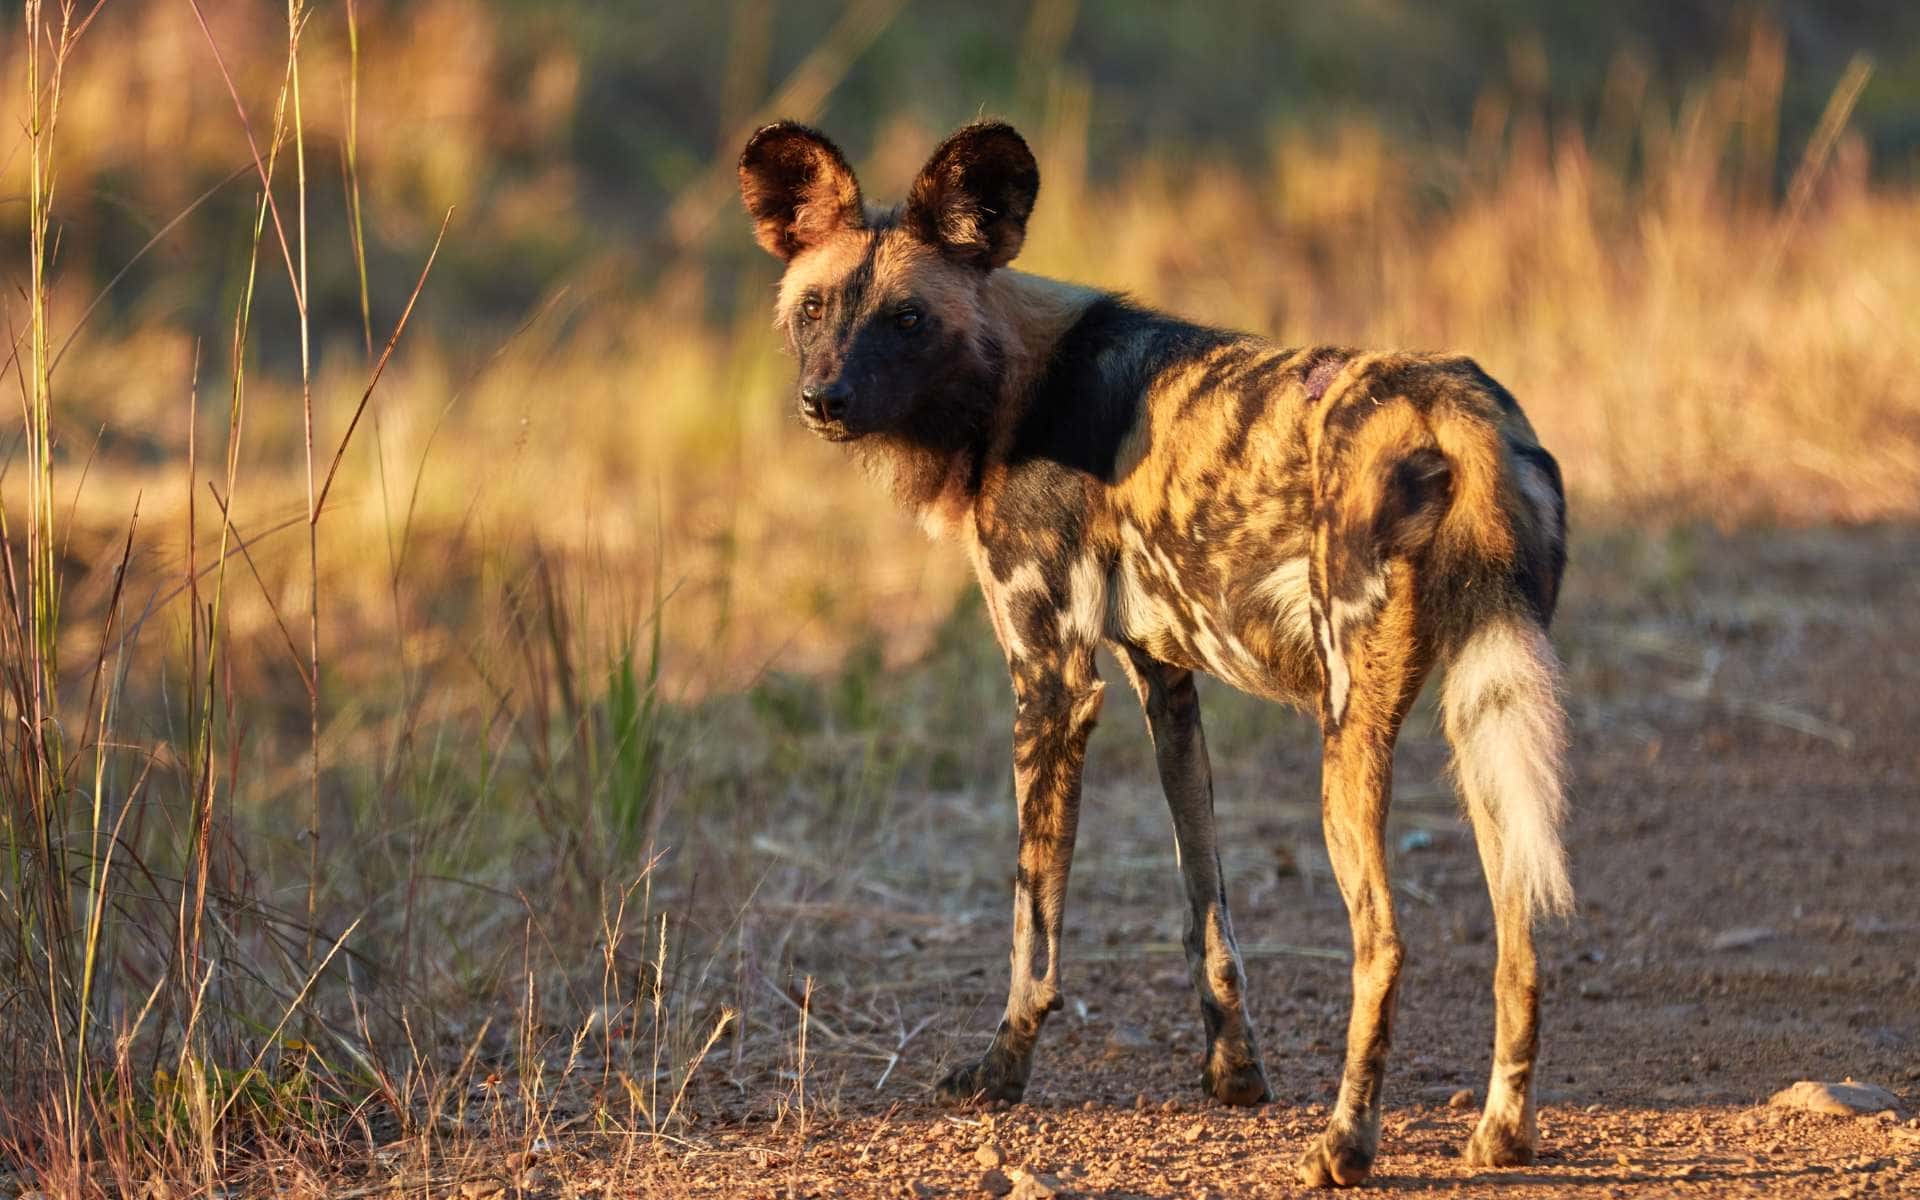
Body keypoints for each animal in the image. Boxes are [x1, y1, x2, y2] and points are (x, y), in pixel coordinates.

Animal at [741, 117, 1566, 1182]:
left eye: (908, 319)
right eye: (814, 308)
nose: (826, 398)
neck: (1014, 384)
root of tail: (1457, 410)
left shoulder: (1051, 685)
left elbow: (1033, 928)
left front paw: (1000, 1073)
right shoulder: (1165, 682)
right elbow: (1205, 905)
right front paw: (1234, 1072)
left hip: (1350, 736)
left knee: (1383, 942)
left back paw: (1344, 1144)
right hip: (1481, 718)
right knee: (1522, 931)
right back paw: (1501, 1135)